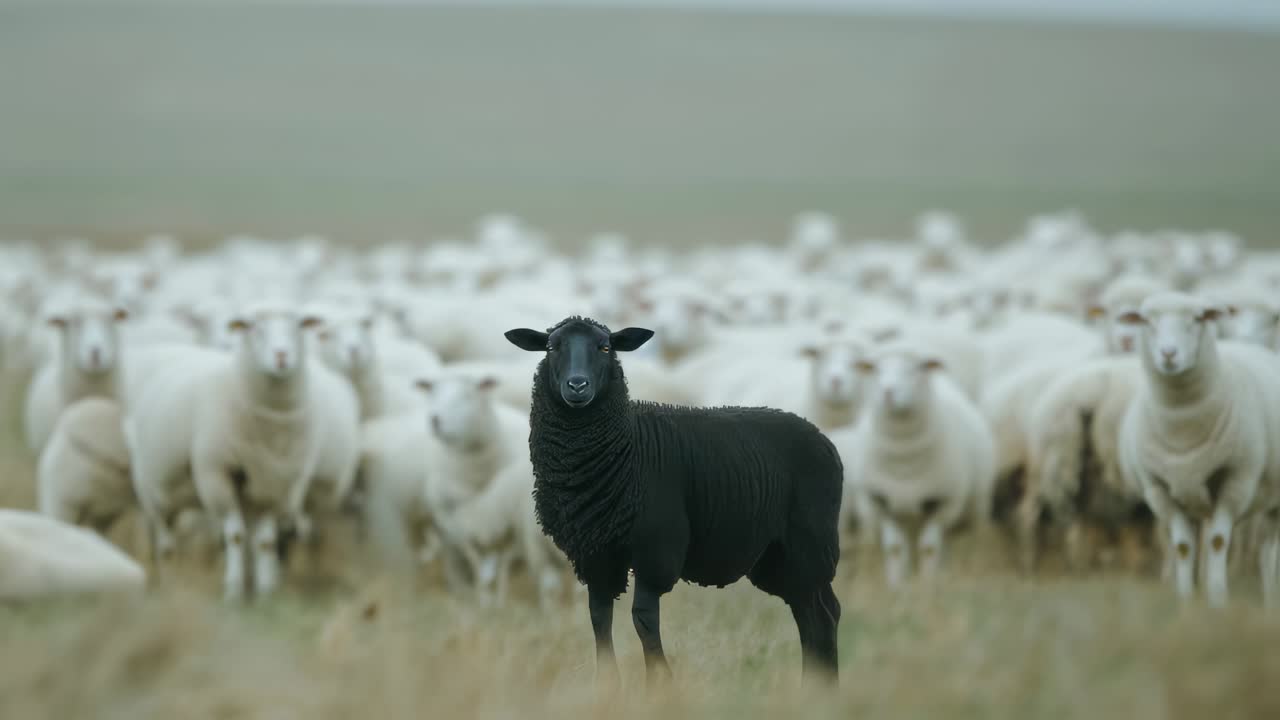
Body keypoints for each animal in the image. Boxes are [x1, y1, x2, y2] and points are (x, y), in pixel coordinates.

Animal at [505, 316, 842, 686]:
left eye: (605, 347)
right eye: (552, 347)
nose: (577, 385)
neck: (626, 447)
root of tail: (824, 439)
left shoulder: (656, 548)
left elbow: (643, 619)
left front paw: (660, 683)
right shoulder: (595, 554)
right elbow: (599, 619)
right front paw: (609, 686)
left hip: (809, 541)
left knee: (822, 615)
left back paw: (820, 687)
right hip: (776, 556)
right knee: (810, 611)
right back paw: (816, 686)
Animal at [843, 340, 995, 586]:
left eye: (915, 369)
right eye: (875, 369)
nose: (888, 392)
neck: (904, 463)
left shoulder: (942, 502)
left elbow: (929, 548)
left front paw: (927, 584)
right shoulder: (882, 502)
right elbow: (894, 548)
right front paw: (896, 585)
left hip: (976, 506)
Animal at [1118, 292, 1280, 607]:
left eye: (1197, 318)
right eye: (1147, 321)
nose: (1169, 354)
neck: (1183, 429)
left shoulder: (1236, 481)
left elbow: (1217, 542)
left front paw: (1217, 599)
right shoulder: (1160, 490)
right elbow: (1183, 547)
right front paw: (1186, 602)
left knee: (1268, 553)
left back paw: (1270, 602)